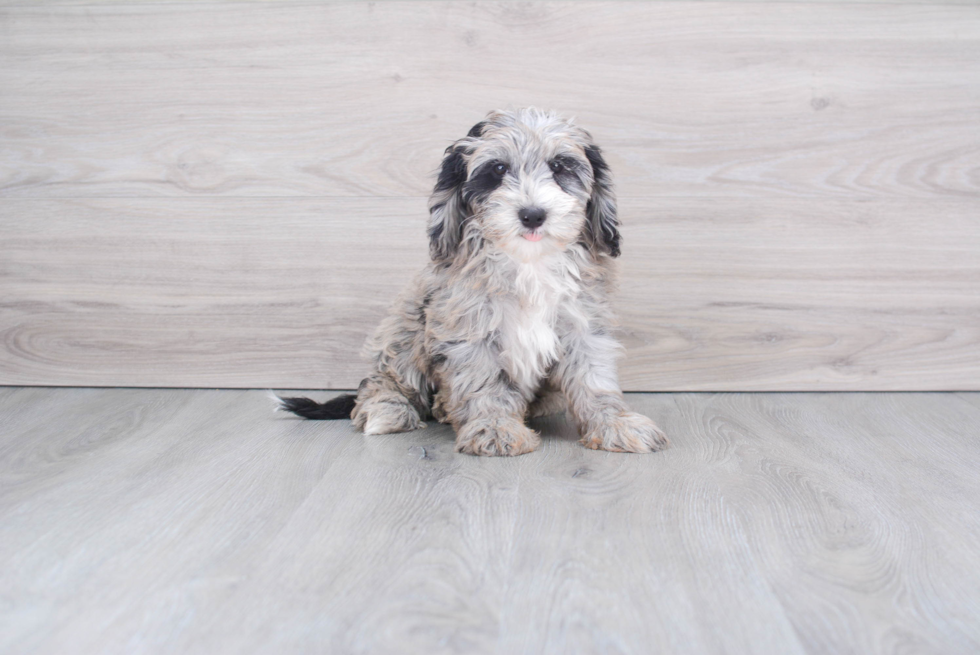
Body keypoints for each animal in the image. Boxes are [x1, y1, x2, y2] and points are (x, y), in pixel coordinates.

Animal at [280, 109, 668, 456]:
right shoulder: (469, 330)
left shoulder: (584, 326)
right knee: (382, 382)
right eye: (498, 170)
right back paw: (388, 411)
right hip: (403, 328)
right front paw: (494, 428)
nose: (532, 215)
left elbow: (595, 380)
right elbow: (484, 383)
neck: (529, 262)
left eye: (560, 167)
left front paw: (614, 423)